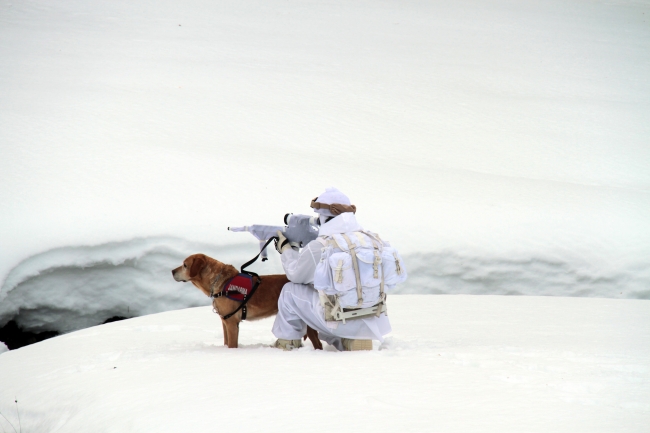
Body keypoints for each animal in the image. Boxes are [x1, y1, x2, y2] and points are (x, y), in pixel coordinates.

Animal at [172, 253, 322, 348]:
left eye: (185, 265)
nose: (172, 271)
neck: (220, 283)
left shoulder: (232, 322)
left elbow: (232, 345)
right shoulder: (225, 321)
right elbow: (226, 342)